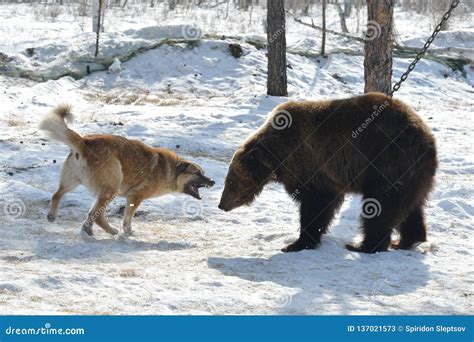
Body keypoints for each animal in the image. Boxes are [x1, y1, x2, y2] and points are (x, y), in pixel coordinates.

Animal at [40, 104, 215, 236]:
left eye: (203, 173)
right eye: (197, 173)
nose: (213, 181)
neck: (171, 170)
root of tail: (84, 142)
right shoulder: (135, 197)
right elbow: (128, 218)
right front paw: (128, 232)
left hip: (74, 182)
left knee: (58, 195)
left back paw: (59, 218)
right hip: (112, 187)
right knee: (96, 215)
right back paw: (108, 231)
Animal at [218, 92, 436, 252]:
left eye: (231, 182)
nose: (221, 204)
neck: (280, 154)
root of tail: (429, 142)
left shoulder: (314, 165)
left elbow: (316, 205)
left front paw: (297, 243)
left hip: (388, 162)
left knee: (381, 206)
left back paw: (365, 245)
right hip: (411, 175)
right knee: (410, 207)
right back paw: (408, 239)